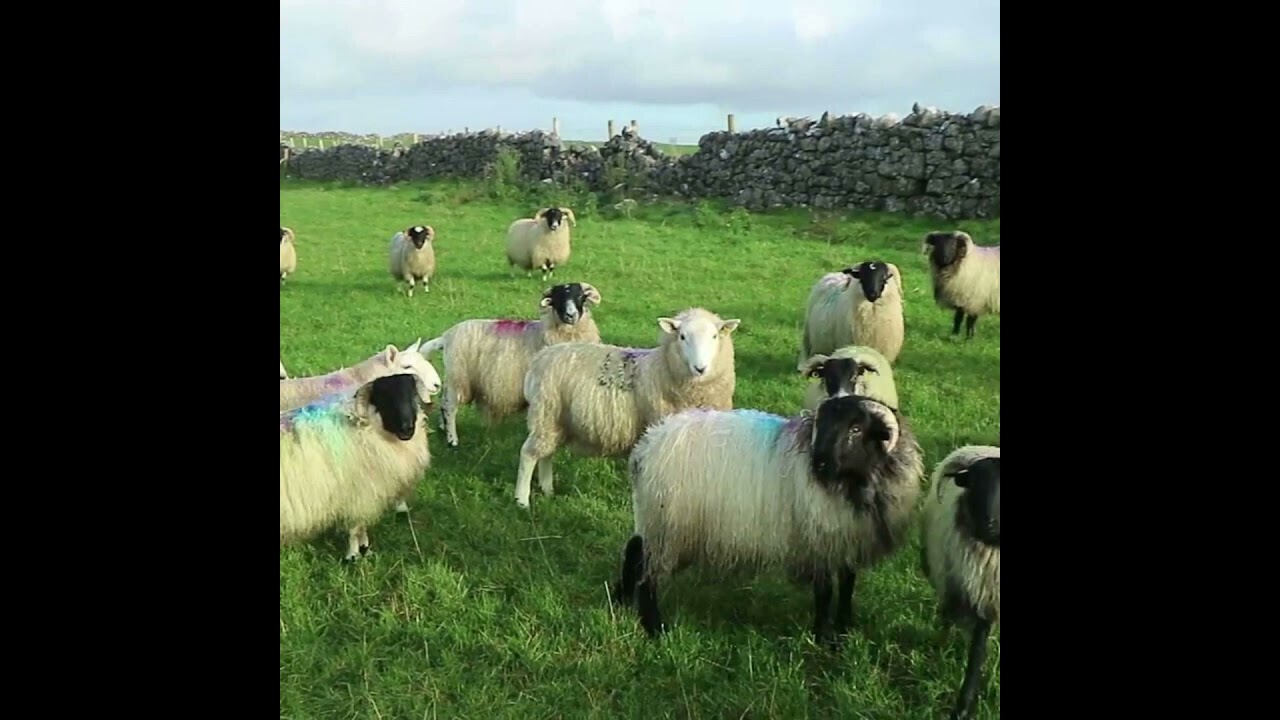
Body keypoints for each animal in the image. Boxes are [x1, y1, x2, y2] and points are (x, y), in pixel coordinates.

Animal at [279, 364, 442, 561]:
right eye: (382, 399)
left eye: (412, 396)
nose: (407, 428)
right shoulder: (359, 495)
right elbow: (355, 527)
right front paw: (353, 555)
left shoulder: (367, 495)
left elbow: (362, 526)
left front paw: (365, 547)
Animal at [419, 282, 604, 448]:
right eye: (558, 298)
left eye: (580, 296)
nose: (570, 315)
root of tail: (446, 337)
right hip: (460, 378)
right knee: (450, 407)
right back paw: (452, 440)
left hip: (453, 378)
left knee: (444, 402)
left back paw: (443, 428)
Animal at [513, 307, 741, 508]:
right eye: (682, 336)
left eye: (714, 336)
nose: (700, 368)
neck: (664, 369)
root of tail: (541, 358)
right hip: (546, 413)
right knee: (528, 454)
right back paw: (522, 501)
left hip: (556, 420)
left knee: (546, 453)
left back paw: (547, 489)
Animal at [613, 394, 925, 643]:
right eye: (821, 427)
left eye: (856, 429)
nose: (819, 463)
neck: (850, 485)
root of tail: (645, 447)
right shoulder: (817, 543)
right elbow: (824, 592)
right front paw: (821, 637)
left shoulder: (846, 542)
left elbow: (847, 586)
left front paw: (844, 628)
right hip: (667, 527)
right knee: (648, 576)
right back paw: (654, 627)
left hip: (657, 522)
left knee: (634, 549)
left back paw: (621, 600)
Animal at [921, 445, 1000, 720]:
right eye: (975, 484)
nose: (990, 524)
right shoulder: (984, 599)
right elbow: (976, 654)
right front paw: (963, 708)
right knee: (947, 615)